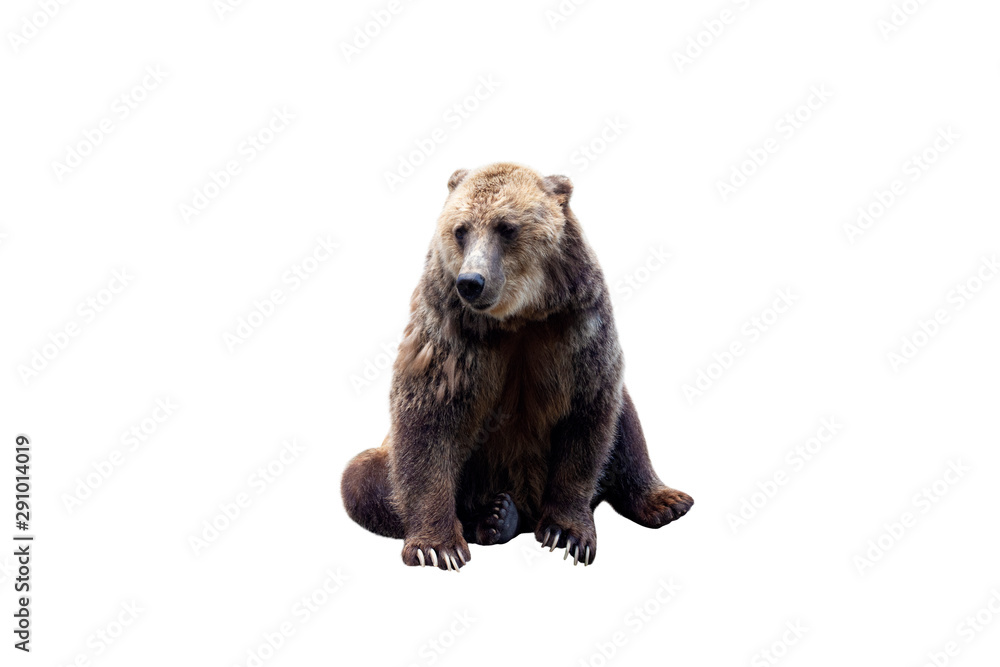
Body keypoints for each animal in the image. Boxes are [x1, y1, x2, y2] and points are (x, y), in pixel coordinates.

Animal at [341, 162, 693, 570]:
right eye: (460, 229)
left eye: (506, 227)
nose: (471, 282)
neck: (518, 316)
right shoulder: (450, 336)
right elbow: (427, 422)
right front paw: (437, 546)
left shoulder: (577, 328)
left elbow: (589, 419)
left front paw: (567, 533)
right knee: (362, 479)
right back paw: (495, 517)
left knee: (627, 423)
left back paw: (664, 501)